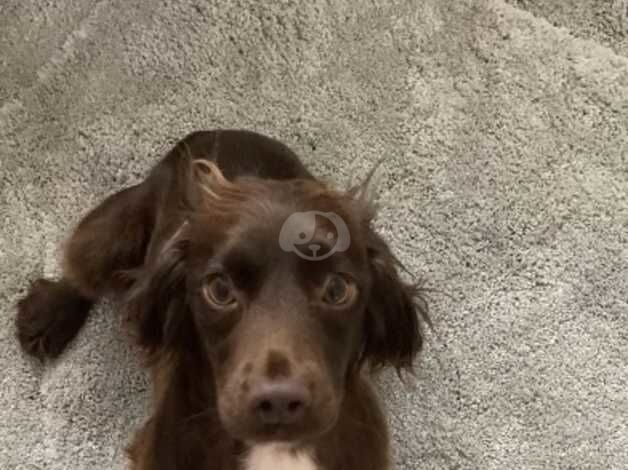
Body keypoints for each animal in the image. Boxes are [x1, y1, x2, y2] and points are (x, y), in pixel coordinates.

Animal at [15, 130, 426, 470]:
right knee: (81, 266)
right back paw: (49, 315)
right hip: (119, 229)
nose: (279, 402)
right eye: (220, 290)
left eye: (338, 289)